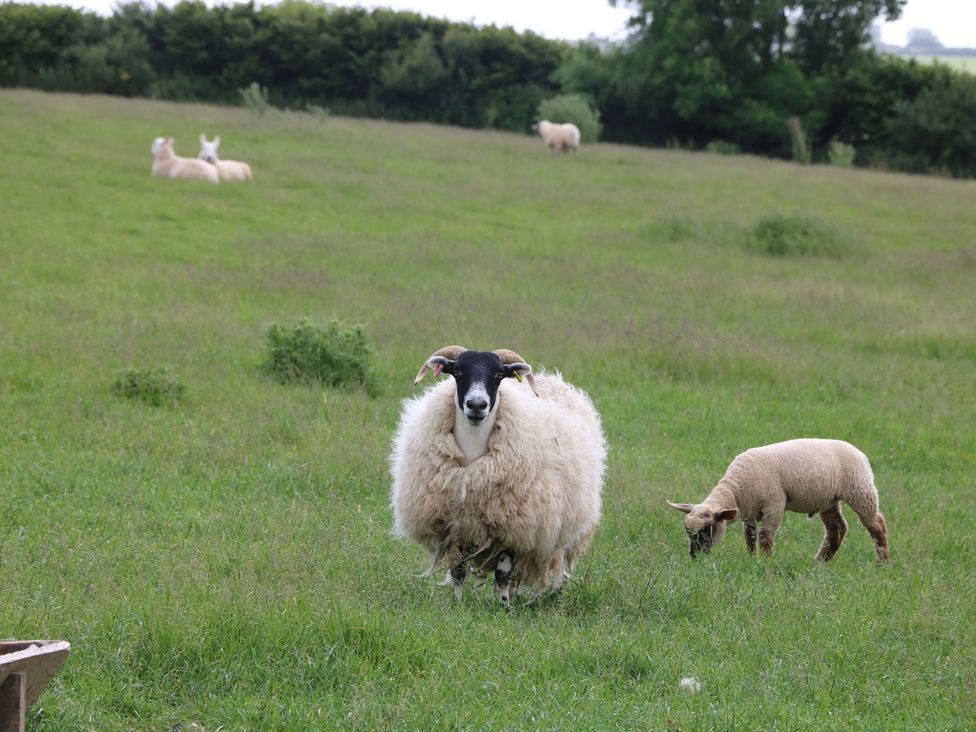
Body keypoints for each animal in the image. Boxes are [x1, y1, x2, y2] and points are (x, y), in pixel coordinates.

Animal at [390, 346, 606, 606]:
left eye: (498, 375)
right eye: (458, 371)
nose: (476, 404)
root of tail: (552, 377)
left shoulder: (513, 526)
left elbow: (503, 573)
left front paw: (504, 607)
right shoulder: (456, 523)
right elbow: (458, 571)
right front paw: (457, 604)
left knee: (557, 560)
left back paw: (554, 595)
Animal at [668, 438, 889, 562]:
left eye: (706, 529)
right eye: (687, 532)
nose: (694, 557)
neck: (737, 487)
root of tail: (860, 453)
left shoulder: (774, 504)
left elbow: (765, 536)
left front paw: (766, 563)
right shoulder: (749, 512)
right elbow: (749, 536)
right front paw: (752, 559)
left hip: (860, 490)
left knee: (876, 525)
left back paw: (883, 563)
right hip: (828, 499)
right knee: (836, 529)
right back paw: (821, 562)